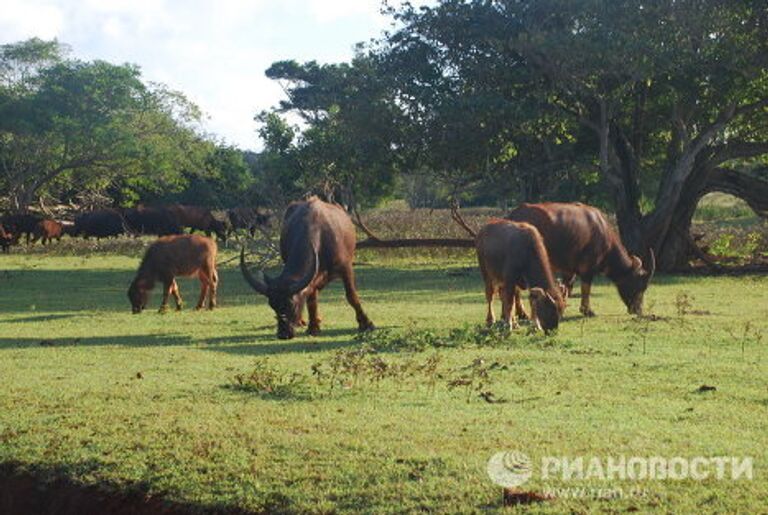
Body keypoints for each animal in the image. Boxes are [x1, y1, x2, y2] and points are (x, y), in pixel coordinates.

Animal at [238, 197, 374, 338]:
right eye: (272, 305)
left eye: (291, 304)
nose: (283, 334)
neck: (320, 234)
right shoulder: (313, 274)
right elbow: (311, 299)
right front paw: (313, 326)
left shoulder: (345, 267)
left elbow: (351, 296)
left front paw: (366, 323)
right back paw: (303, 320)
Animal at [508, 203, 656, 316]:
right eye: (640, 285)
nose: (638, 310)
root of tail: (513, 216)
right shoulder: (587, 268)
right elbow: (586, 289)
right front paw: (587, 310)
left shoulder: (568, 269)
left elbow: (567, 287)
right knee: (516, 289)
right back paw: (522, 313)